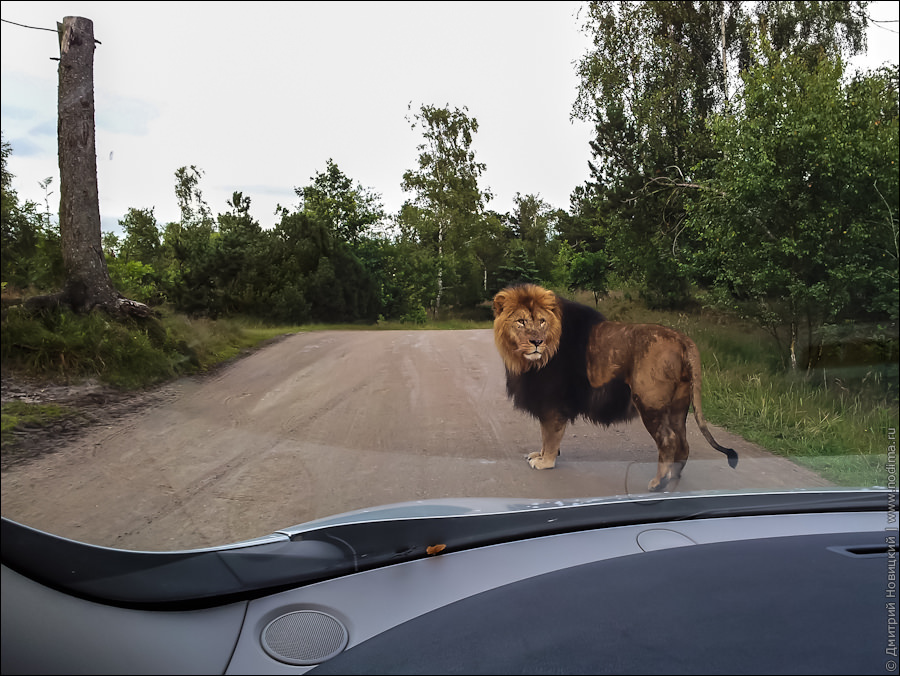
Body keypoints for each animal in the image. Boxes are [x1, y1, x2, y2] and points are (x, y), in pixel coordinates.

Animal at [492, 283, 738, 492]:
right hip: (678, 406)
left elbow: (550, 436)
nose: (537, 342)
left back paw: (658, 483)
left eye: (542, 321)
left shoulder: (552, 402)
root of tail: (682, 339)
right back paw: (673, 478)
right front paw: (539, 455)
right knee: (683, 443)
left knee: (668, 441)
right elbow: (545, 436)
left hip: (649, 402)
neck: (529, 361)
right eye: (521, 322)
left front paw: (545, 462)